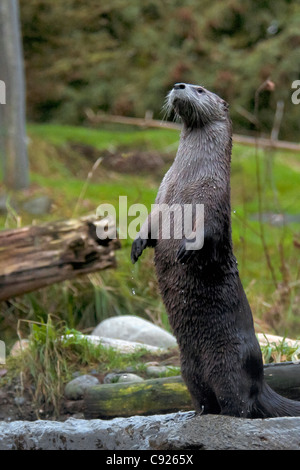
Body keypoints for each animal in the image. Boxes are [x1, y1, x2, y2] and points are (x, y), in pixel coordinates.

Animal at [132, 81, 300, 418]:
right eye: (186, 85)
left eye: (199, 89)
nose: (179, 85)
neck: (184, 183)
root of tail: (262, 381)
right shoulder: (161, 196)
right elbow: (150, 225)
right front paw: (137, 246)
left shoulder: (213, 197)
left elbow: (208, 229)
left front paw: (187, 250)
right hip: (188, 369)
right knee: (203, 396)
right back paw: (199, 413)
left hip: (229, 367)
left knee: (239, 403)